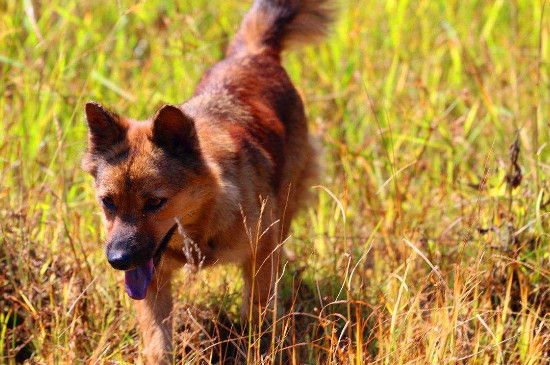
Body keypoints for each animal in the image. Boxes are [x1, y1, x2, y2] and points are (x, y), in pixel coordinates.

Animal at [82, 0, 332, 362]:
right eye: (108, 202)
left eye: (155, 202)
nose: (117, 261)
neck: (204, 220)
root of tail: (253, 53)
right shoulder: (152, 277)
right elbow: (158, 344)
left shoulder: (261, 250)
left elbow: (255, 313)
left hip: (285, 207)